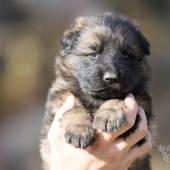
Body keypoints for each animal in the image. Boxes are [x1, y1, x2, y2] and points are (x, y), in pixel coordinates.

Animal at [40, 12, 155, 169]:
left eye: (126, 54)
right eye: (93, 54)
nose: (111, 78)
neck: (96, 100)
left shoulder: (142, 104)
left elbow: (118, 97)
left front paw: (108, 115)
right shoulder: (60, 96)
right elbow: (74, 106)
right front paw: (79, 129)